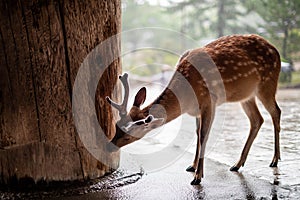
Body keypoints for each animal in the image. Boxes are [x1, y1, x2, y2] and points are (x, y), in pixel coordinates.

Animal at [105, 34, 282, 184]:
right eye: (116, 126)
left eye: (128, 137)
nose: (108, 146)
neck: (186, 98)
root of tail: (276, 51)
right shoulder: (196, 110)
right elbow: (197, 134)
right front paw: (192, 165)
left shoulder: (209, 101)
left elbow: (204, 135)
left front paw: (198, 176)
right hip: (247, 95)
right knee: (257, 119)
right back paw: (237, 164)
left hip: (267, 83)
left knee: (276, 112)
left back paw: (274, 160)